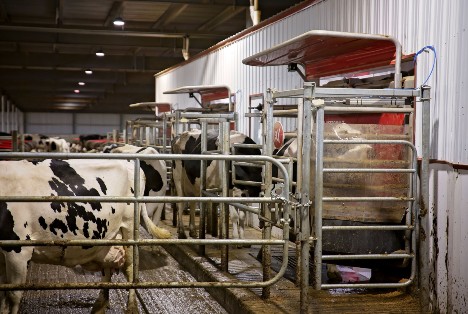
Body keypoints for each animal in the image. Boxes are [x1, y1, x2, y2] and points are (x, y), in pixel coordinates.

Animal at [0, 156, 172, 312]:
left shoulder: (18, 250)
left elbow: (13, 295)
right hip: (108, 236)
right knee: (108, 269)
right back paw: (99, 306)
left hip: (129, 228)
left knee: (130, 269)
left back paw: (131, 308)